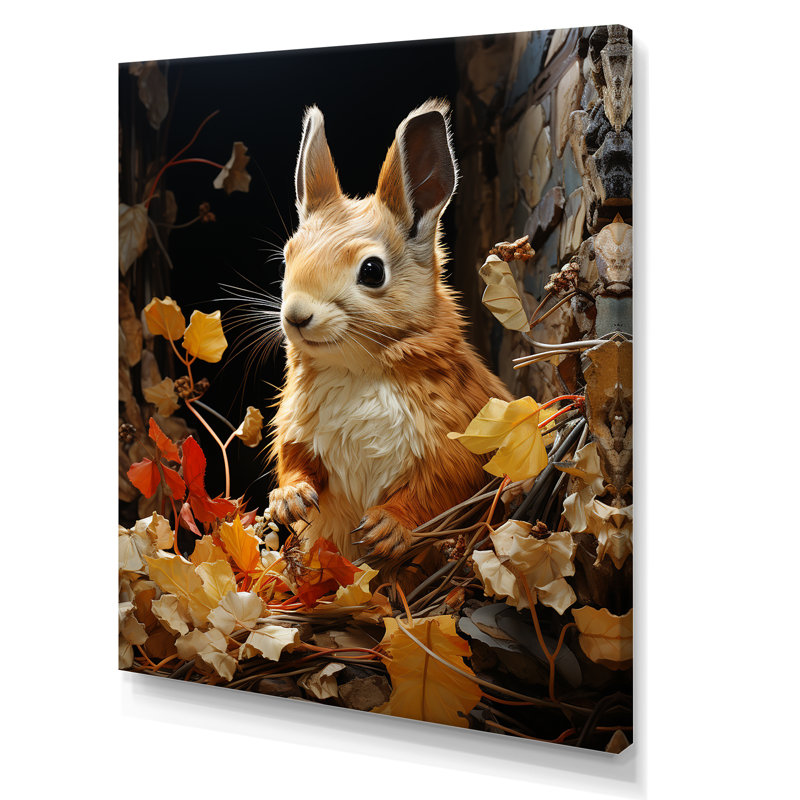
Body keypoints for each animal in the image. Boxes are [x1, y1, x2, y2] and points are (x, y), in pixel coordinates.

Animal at [268, 99, 512, 565]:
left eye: (371, 270)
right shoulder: (297, 431)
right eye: (288, 256)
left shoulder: (453, 441)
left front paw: (386, 527)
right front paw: (288, 501)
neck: (357, 369)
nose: (296, 316)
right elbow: (295, 464)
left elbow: (434, 492)